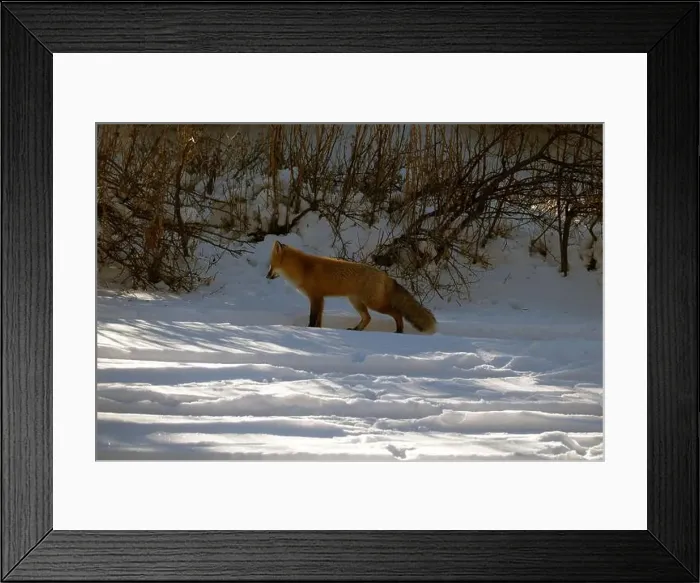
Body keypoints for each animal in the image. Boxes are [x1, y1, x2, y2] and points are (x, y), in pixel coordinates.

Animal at [266, 240, 437, 334]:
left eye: (271, 266)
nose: (267, 276)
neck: (303, 269)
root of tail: (386, 276)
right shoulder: (320, 299)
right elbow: (318, 320)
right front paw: (317, 331)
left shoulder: (315, 297)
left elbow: (313, 318)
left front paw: (308, 330)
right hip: (356, 302)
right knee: (368, 318)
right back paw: (356, 330)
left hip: (375, 304)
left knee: (397, 313)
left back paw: (399, 331)